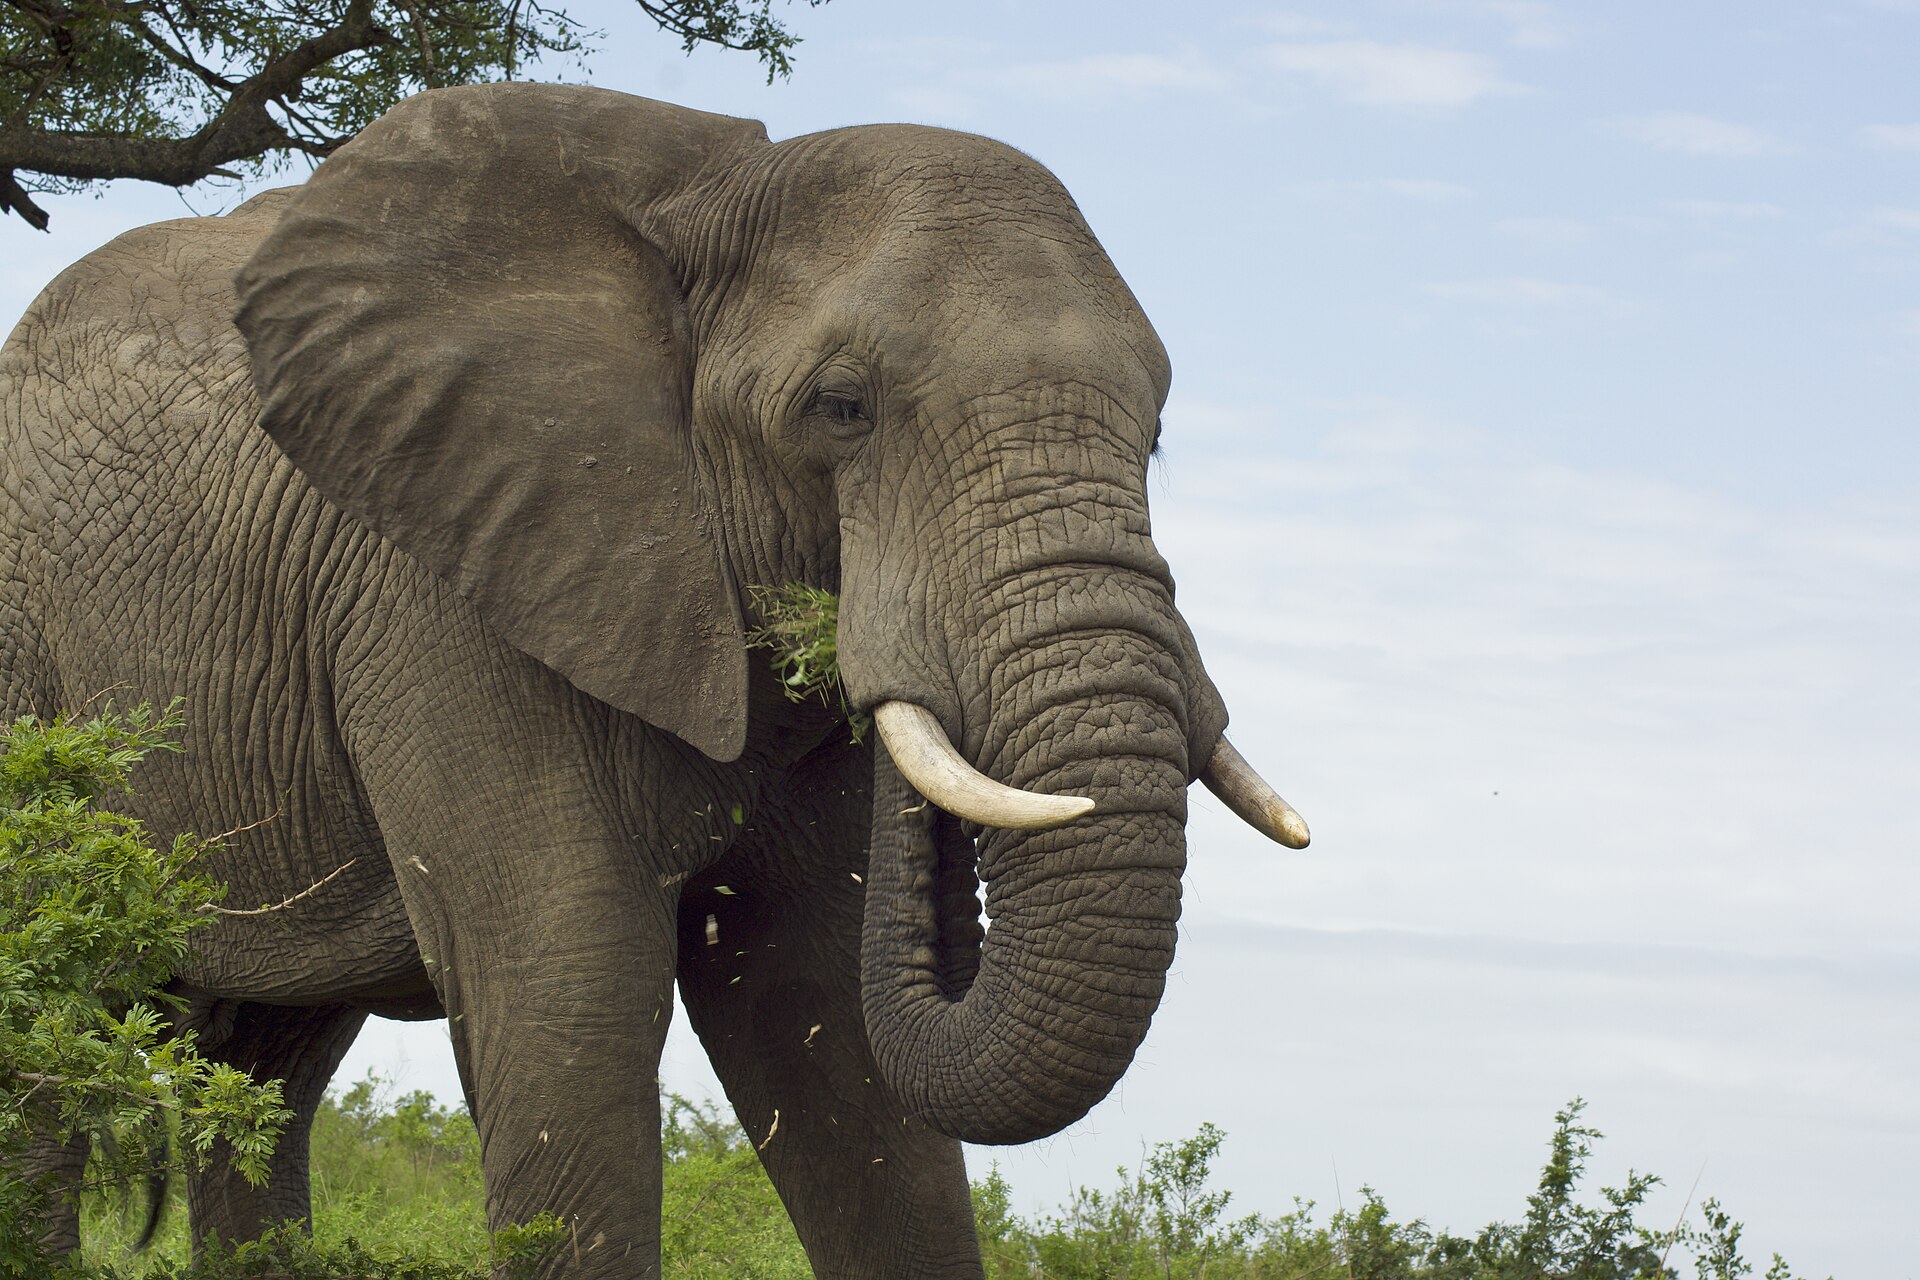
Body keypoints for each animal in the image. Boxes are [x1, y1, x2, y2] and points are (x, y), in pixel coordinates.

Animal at [0, 84, 1306, 1277]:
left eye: (1153, 430)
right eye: (840, 409)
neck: (702, 199)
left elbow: (826, 1032)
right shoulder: (447, 591)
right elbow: (574, 1006)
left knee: (269, 1067)